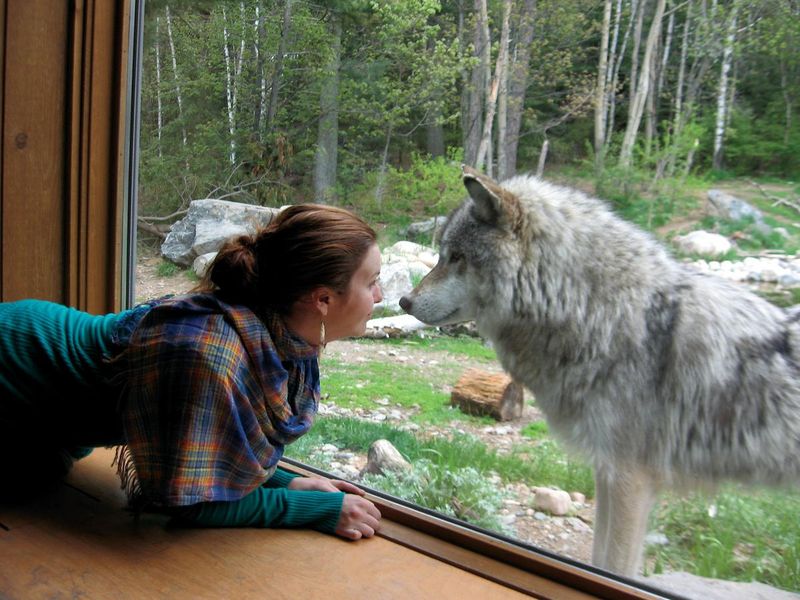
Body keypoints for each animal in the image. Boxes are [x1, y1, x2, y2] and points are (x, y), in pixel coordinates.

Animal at [399, 165, 800, 577]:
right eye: (442, 256)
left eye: (456, 257)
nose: (403, 300)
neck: (595, 309)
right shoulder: (608, 472)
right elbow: (599, 557)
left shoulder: (629, 479)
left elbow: (614, 566)